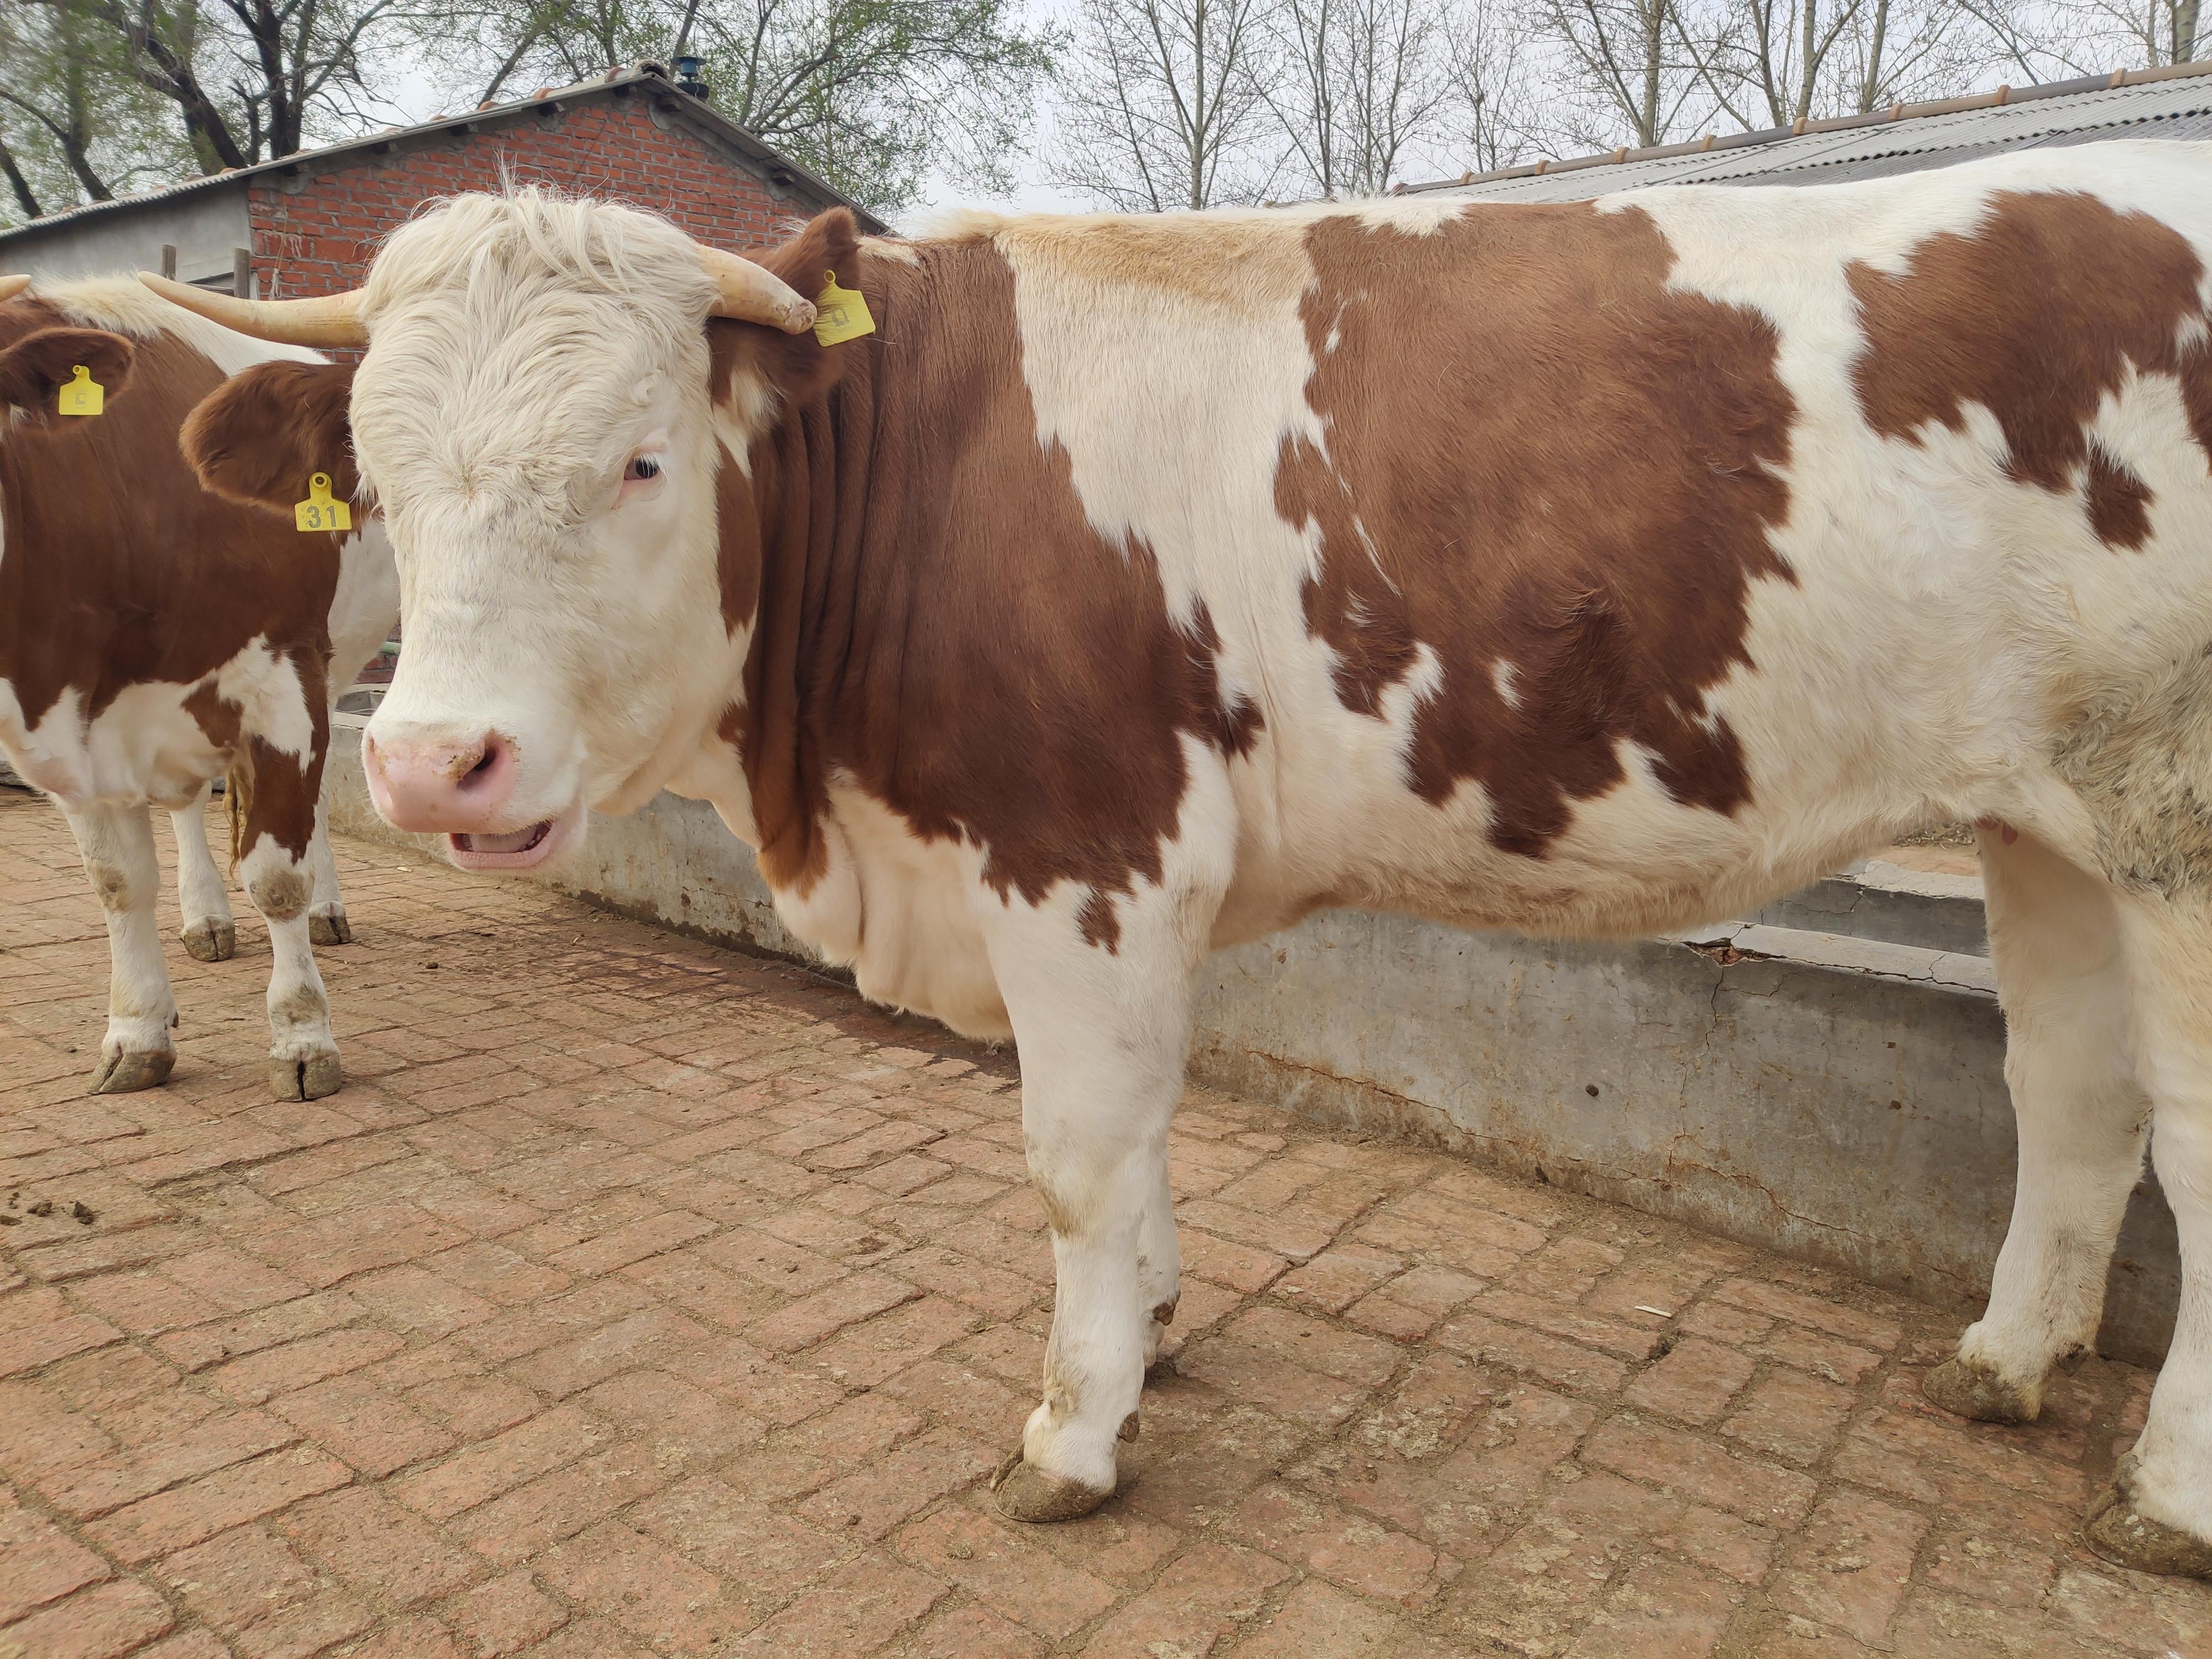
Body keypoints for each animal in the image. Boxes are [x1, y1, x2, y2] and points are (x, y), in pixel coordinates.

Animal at [2, 273, 398, 1106]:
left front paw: (303, 1036)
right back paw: (206, 918)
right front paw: (136, 1032)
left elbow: (278, 877)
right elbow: (117, 883)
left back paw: (326, 909)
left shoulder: (284, 685)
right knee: (187, 806)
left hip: (333, 664)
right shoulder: (71, 735)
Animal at [152, 140, 2212, 1575]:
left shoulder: (1080, 845)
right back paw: (2005, 1361)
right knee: (2076, 1092)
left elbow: (1077, 1152)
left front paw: (1074, 1433)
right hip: (2047, 812)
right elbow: (1142, 1145)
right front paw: (1148, 1335)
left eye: (644, 459)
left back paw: (2166, 1497)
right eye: (374, 475)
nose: (429, 763)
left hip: (2176, 820)